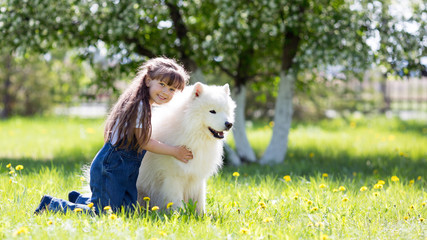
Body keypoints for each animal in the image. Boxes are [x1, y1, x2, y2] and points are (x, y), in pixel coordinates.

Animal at [136, 82, 236, 214]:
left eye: (226, 111)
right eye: (212, 111)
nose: (229, 124)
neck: (191, 133)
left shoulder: (197, 175)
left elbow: (200, 199)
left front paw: (201, 216)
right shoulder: (172, 177)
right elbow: (176, 201)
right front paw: (179, 215)